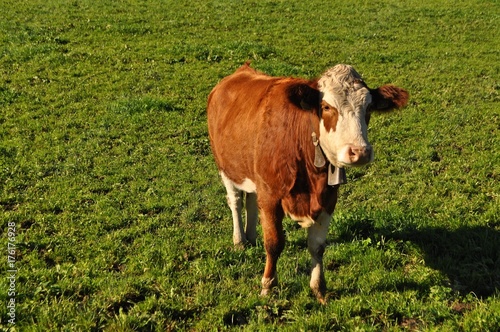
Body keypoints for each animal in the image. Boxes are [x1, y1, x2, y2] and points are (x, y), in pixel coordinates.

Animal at [206, 61, 406, 302]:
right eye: (327, 107)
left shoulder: (328, 198)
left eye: (368, 108)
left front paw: (319, 289)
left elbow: (317, 246)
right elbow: (274, 243)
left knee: (251, 200)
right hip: (225, 167)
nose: (360, 152)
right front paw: (267, 285)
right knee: (235, 201)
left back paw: (251, 236)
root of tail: (241, 72)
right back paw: (240, 240)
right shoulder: (270, 195)